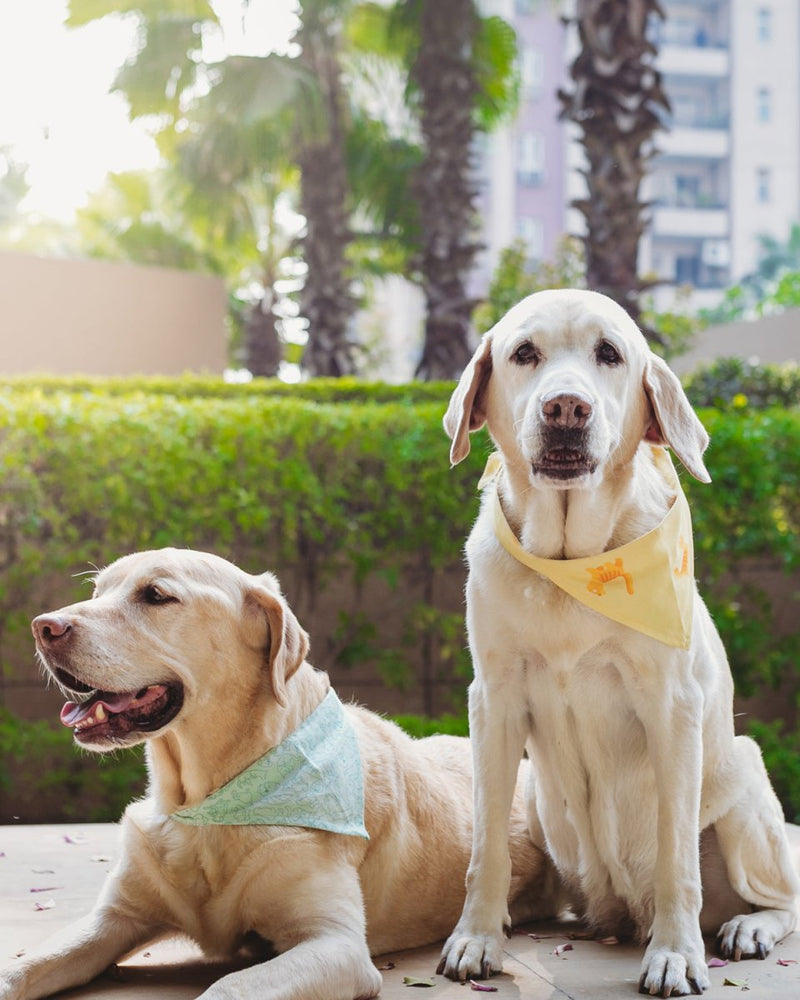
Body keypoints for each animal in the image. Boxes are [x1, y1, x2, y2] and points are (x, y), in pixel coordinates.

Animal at [1, 548, 564, 1000]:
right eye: (96, 591)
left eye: (155, 595)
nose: (43, 626)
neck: (202, 803)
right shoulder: (114, 917)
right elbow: (22, 968)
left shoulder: (336, 946)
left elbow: (227, 988)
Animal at [438, 286, 800, 996]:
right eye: (525, 353)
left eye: (609, 353)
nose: (566, 408)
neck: (573, 567)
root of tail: (616, 914)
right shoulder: (492, 700)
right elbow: (485, 846)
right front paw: (476, 936)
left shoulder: (672, 707)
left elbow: (676, 858)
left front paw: (677, 954)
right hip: (542, 809)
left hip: (743, 779)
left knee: (784, 897)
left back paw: (746, 928)